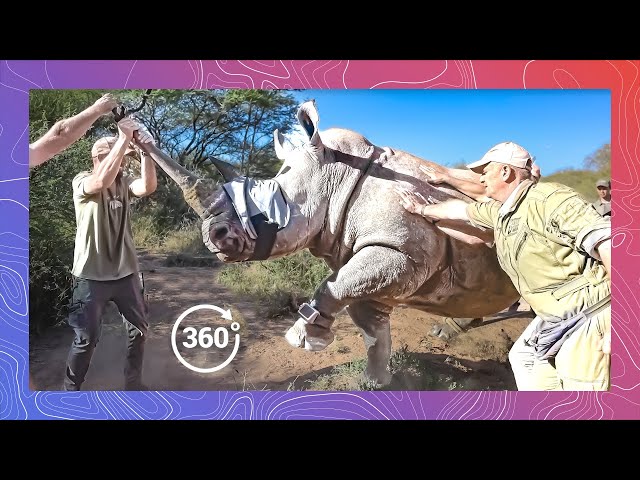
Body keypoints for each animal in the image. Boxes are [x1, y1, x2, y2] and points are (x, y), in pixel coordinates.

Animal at [140, 100, 520, 386]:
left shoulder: (400, 252)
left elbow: (335, 288)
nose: (212, 236)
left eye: (267, 203)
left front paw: (303, 338)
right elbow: (368, 322)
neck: (336, 175)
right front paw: (375, 383)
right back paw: (447, 331)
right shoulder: (369, 259)